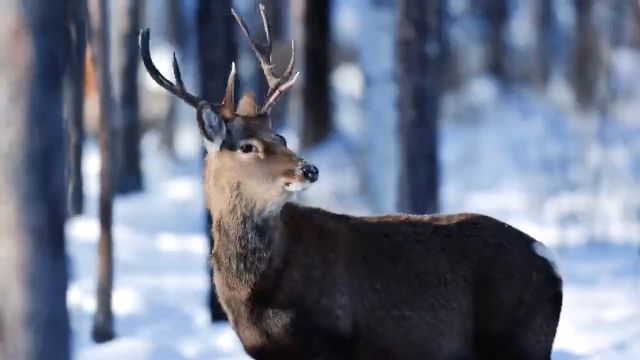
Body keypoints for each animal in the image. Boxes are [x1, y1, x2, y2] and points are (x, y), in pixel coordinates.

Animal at [139, 3, 560, 360]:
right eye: (247, 146)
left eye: (281, 137)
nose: (308, 169)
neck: (252, 291)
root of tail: (549, 260)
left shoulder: (332, 340)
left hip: (518, 338)